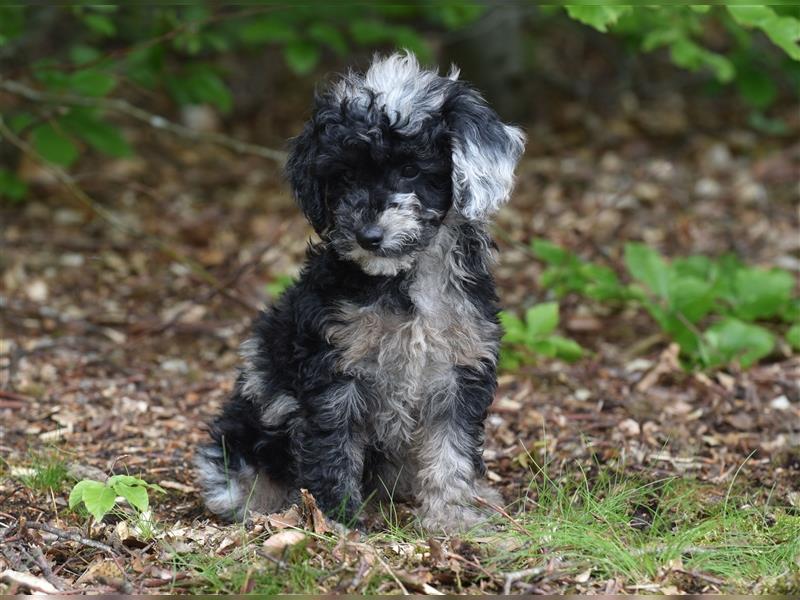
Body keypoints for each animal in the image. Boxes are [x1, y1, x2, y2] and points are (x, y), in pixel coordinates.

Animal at [197, 51, 524, 528]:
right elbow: (333, 448)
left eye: (410, 170)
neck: (405, 279)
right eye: (346, 176)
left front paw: (453, 516)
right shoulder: (335, 371)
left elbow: (451, 449)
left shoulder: (459, 369)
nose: (367, 235)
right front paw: (336, 521)